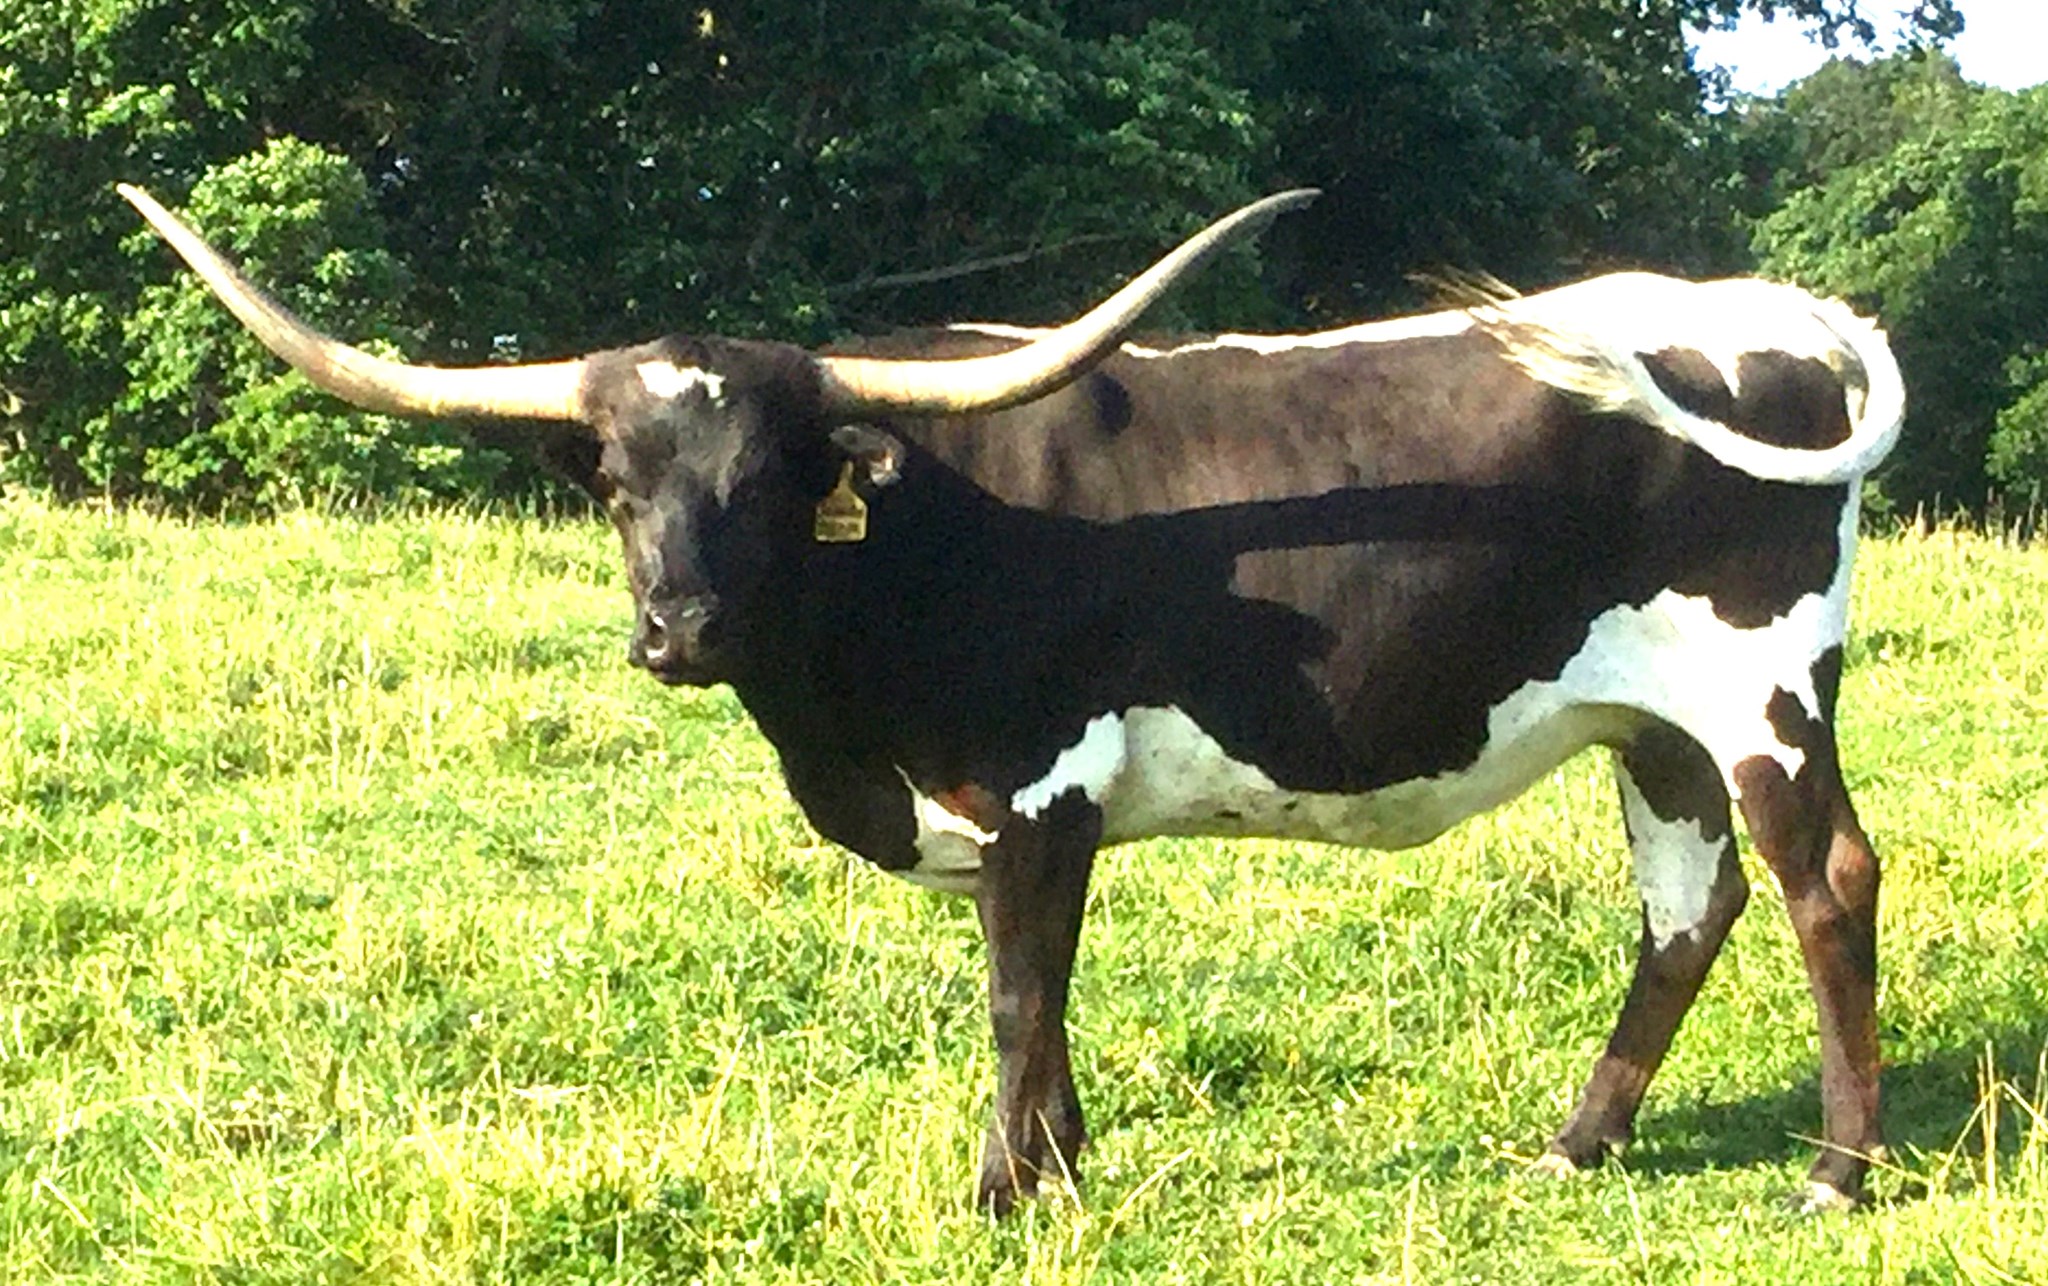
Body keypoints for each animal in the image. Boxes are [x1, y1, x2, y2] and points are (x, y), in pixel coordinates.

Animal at [122, 182, 1904, 1216]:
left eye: (769, 481)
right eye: (619, 482)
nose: (677, 627)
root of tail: (1775, 312)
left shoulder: (1039, 786)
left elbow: (1017, 990)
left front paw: (1006, 1184)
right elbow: (1043, 993)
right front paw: (1061, 1161)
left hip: (1762, 689)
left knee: (1827, 880)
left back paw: (1835, 1171)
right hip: (1650, 727)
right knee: (1688, 905)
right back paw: (1576, 1143)